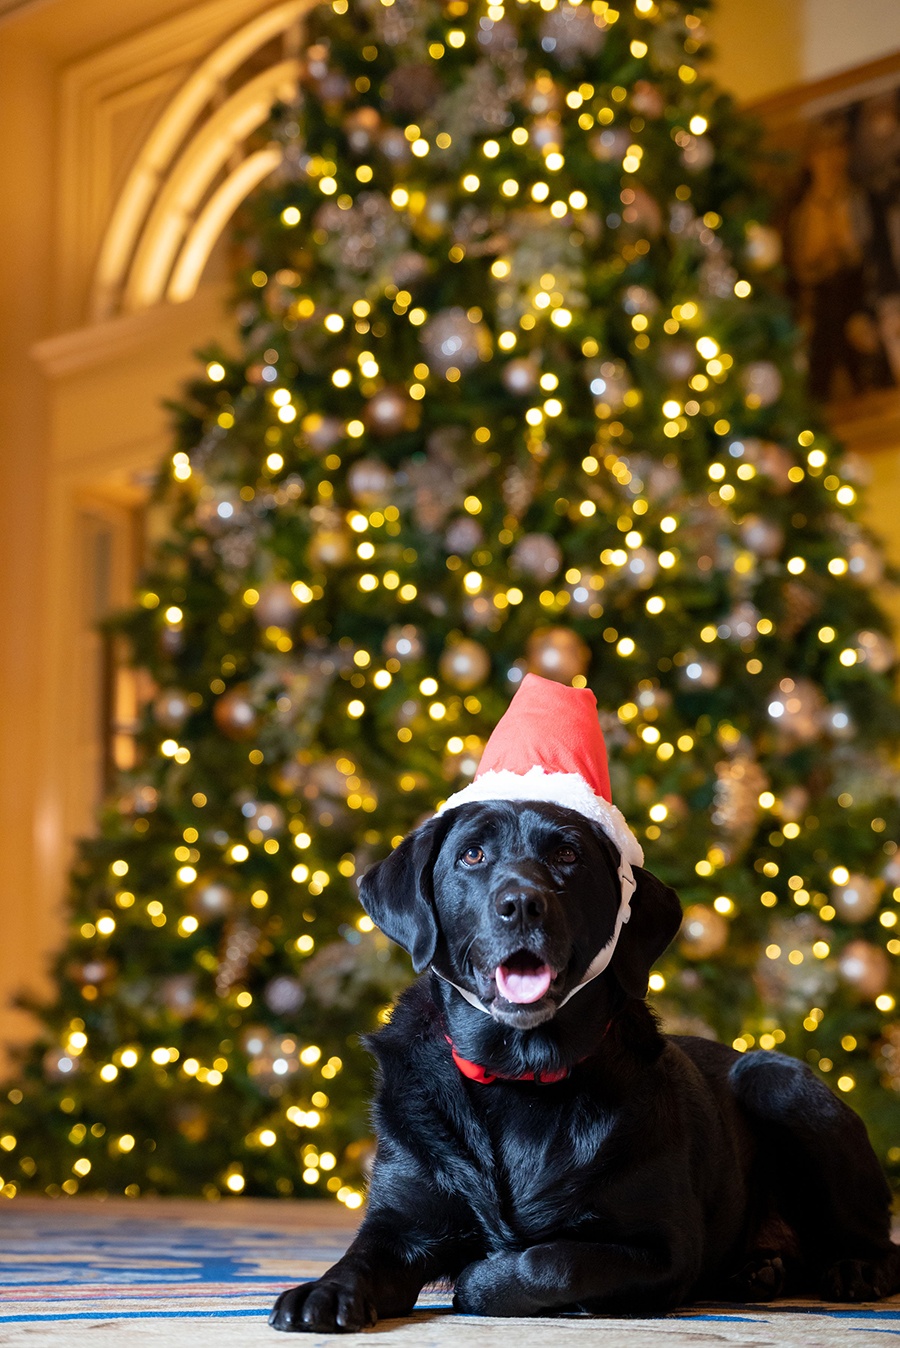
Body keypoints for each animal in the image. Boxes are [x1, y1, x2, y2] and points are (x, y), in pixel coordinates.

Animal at [270, 792, 900, 1331]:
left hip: (780, 1082)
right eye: (472, 854)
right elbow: (360, 1256)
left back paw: (853, 1269)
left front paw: (481, 1279)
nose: (522, 904)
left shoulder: (667, 1248)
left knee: (875, 1240)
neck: (521, 1076)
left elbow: (550, 1261)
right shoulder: (400, 1220)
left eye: (566, 855)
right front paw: (322, 1292)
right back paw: (759, 1271)